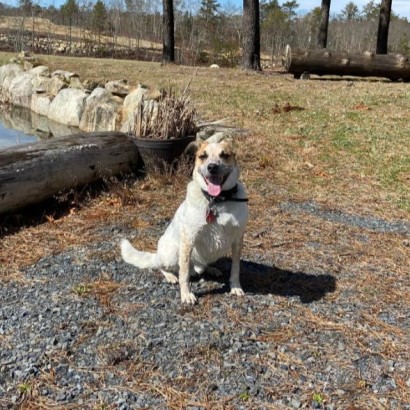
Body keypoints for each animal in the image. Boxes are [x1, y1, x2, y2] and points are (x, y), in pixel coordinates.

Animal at [121, 139, 250, 302]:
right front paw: (186, 294)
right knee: (161, 266)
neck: (218, 201)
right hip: (171, 254)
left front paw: (235, 287)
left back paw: (211, 269)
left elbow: (235, 268)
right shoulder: (188, 240)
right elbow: (184, 274)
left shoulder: (238, 240)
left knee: (201, 266)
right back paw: (170, 276)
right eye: (203, 156)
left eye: (224, 155)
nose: (212, 167)